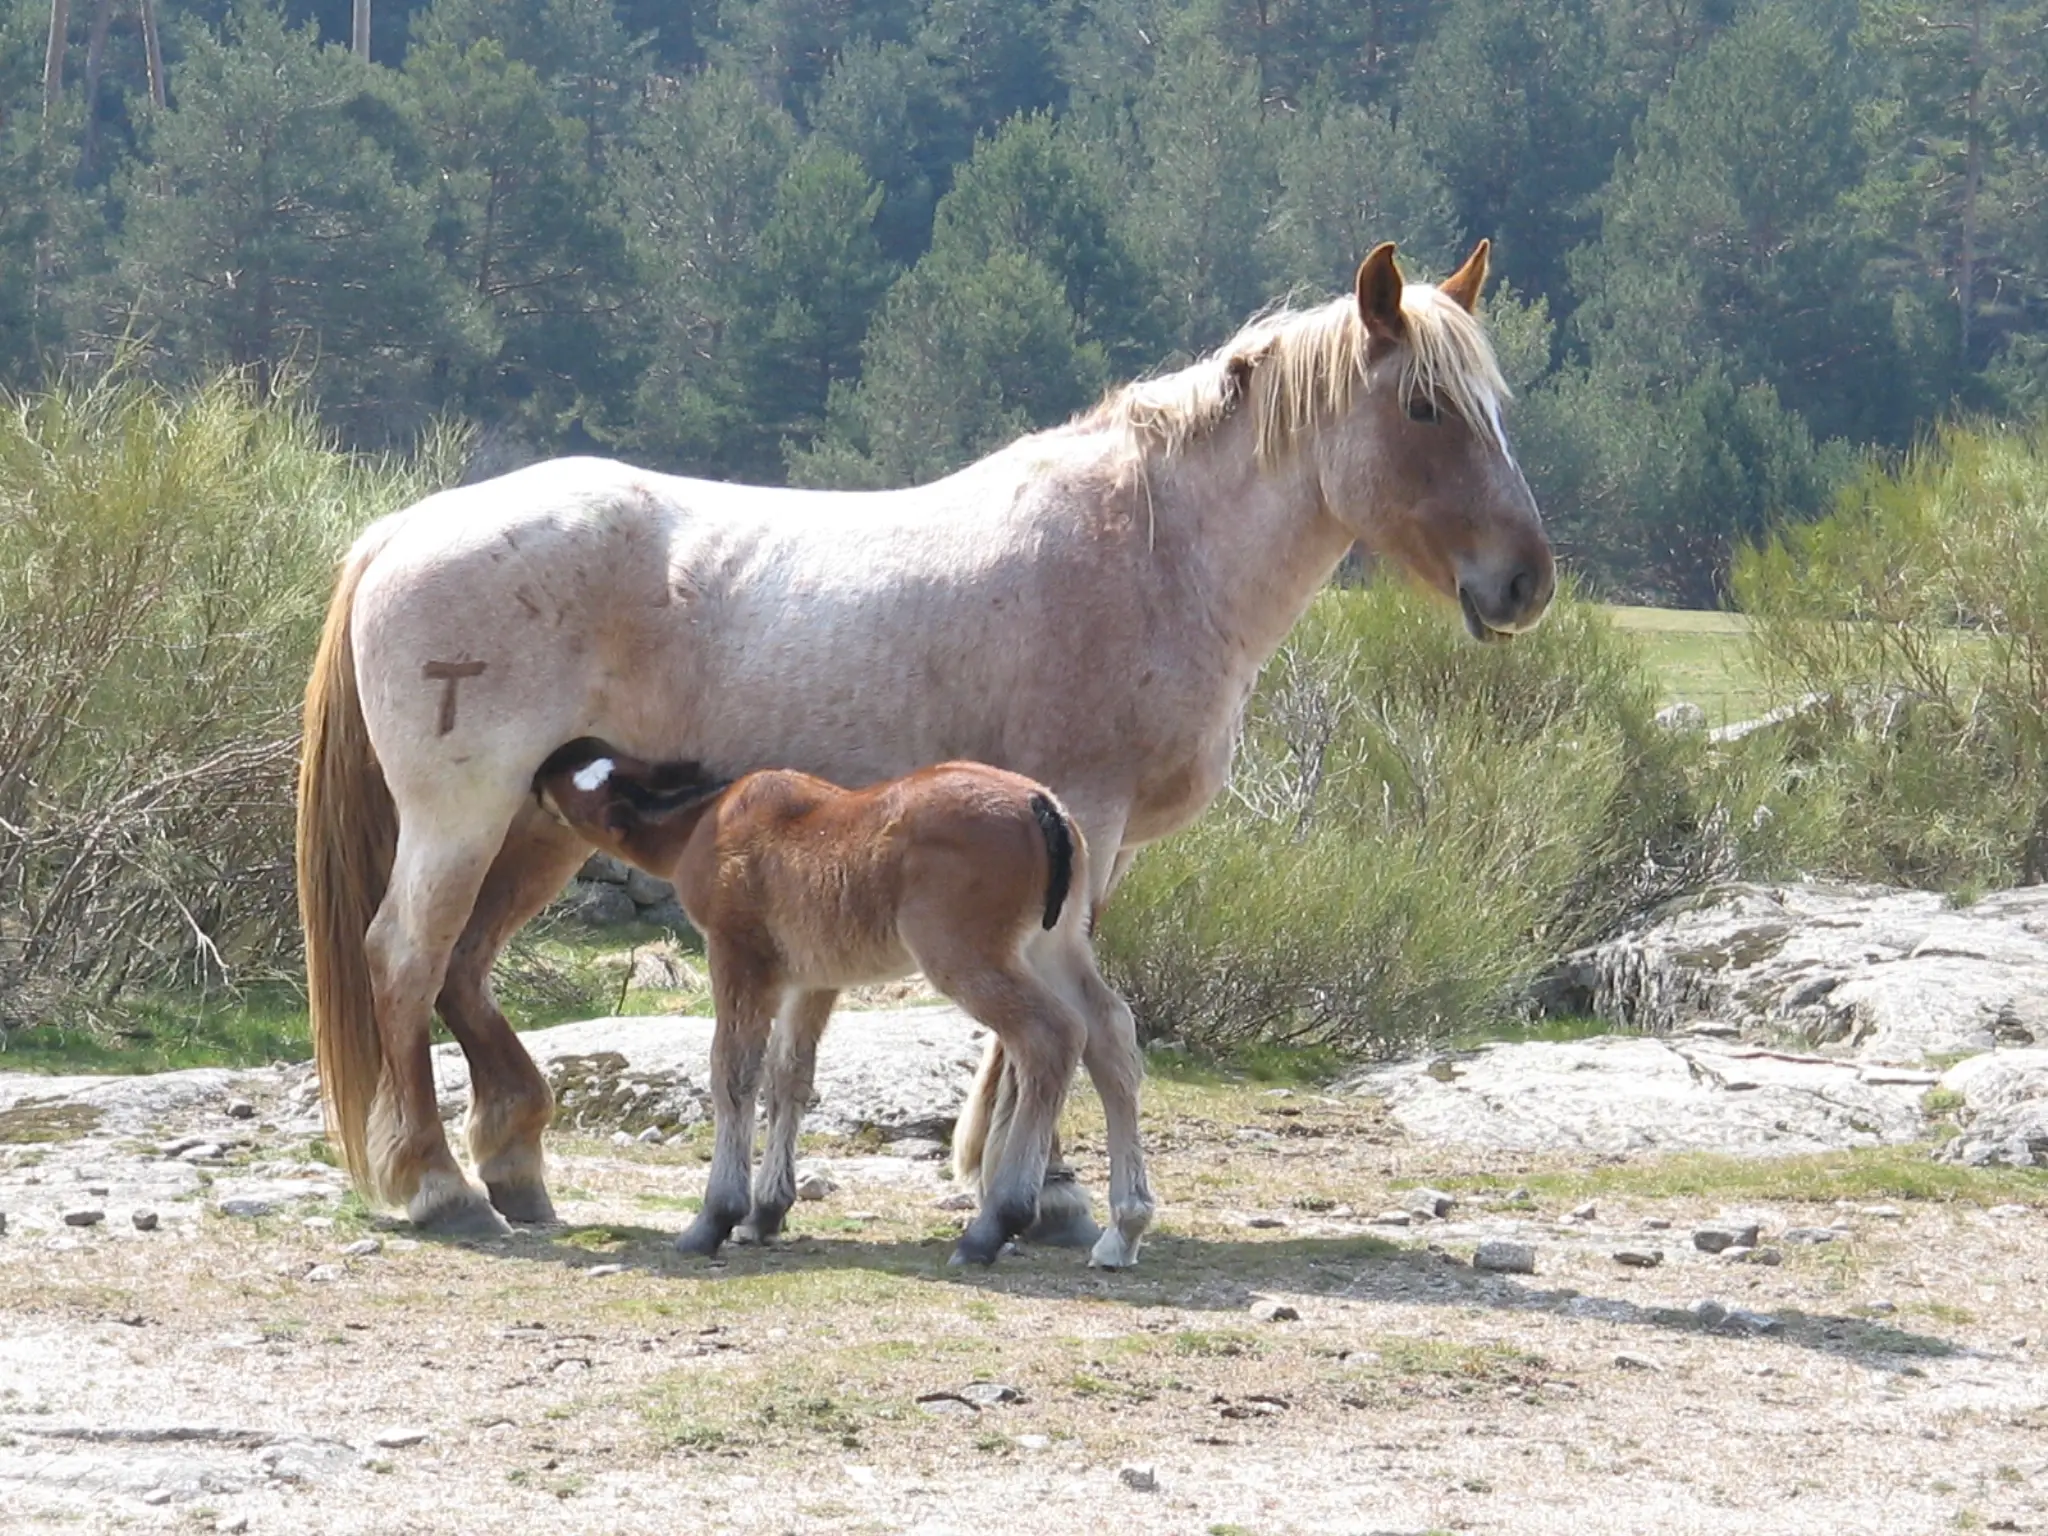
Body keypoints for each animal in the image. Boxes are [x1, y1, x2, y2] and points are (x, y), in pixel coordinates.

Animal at [528, 745, 1155, 1277]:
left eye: (581, 783)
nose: (545, 766)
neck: (706, 821)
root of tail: (1040, 804)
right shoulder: (813, 982)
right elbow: (789, 1078)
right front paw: (767, 1212)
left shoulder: (739, 960)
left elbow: (734, 1074)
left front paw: (716, 1217)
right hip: (1055, 949)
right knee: (1109, 1035)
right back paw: (1124, 1228)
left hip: (966, 958)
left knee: (1050, 1037)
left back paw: (995, 1224)